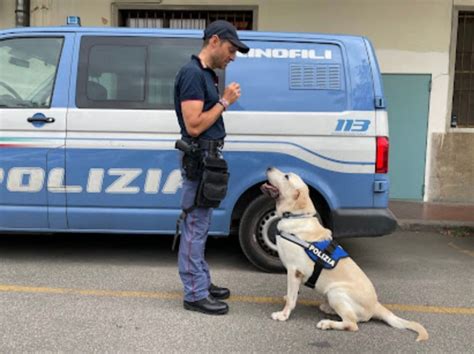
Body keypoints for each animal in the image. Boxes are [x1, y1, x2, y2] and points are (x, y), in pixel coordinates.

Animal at [262, 167, 428, 342]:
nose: (269, 167)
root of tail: (376, 305)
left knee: (352, 324)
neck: (297, 216)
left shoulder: (294, 270)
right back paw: (328, 309)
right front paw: (287, 298)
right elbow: (293, 295)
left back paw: (327, 323)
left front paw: (283, 315)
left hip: (336, 292)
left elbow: (292, 300)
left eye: (286, 176)